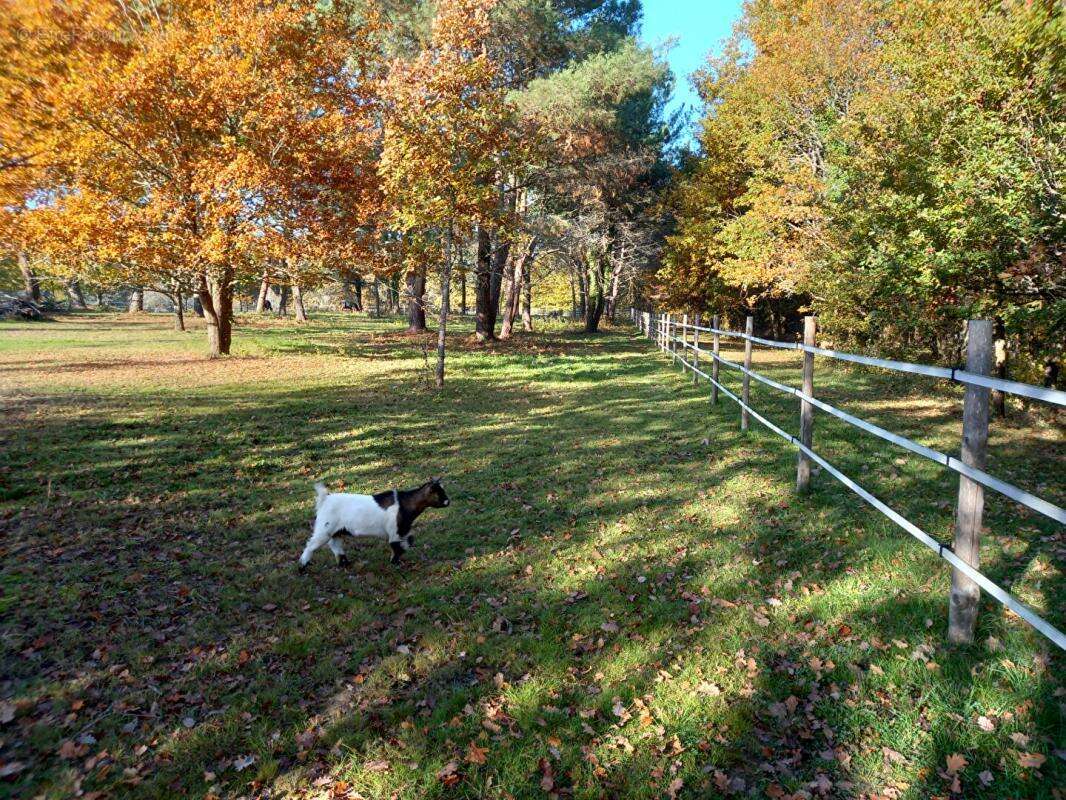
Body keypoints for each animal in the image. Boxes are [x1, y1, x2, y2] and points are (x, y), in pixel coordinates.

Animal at [296, 480, 449, 571]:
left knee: (335, 545)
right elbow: (396, 546)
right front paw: (395, 563)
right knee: (311, 545)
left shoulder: (403, 530)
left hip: (336, 531)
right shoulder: (394, 531)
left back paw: (345, 564)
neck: (405, 503)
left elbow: (407, 542)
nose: (448, 501)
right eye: (439, 493)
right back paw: (302, 566)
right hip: (325, 530)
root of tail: (325, 499)